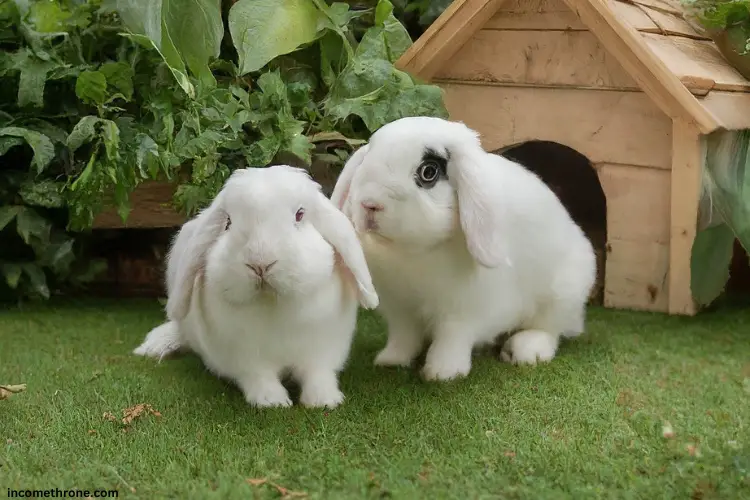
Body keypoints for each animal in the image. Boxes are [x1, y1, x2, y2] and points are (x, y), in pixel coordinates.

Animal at [133, 164, 378, 406]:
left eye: (300, 215)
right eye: (228, 223)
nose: (260, 263)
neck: (273, 305)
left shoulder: (322, 349)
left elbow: (318, 374)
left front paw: (325, 401)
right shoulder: (245, 358)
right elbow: (260, 378)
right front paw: (272, 401)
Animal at [332, 117, 596, 380]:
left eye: (429, 172)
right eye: (368, 159)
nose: (370, 204)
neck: (412, 252)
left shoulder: (464, 311)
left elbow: (452, 338)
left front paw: (442, 373)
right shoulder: (401, 310)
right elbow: (404, 337)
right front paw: (391, 360)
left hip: (561, 294)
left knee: (549, 329)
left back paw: (526, 349)